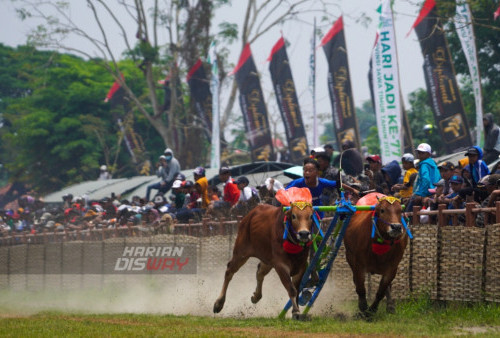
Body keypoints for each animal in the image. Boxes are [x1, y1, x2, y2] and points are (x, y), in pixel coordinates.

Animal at [213, 187, 314, 320]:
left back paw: (256, 296)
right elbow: (291, 289)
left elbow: (297, 290)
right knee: (229, 271)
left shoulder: (301, 265)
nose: (304, 234)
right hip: (241, 252)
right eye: (294, 216)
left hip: (267, 260)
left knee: (260, 271)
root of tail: (249, 215)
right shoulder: (280, 266)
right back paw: (218, 304)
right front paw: (296, 312)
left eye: (310, 216)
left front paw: (295, 312)